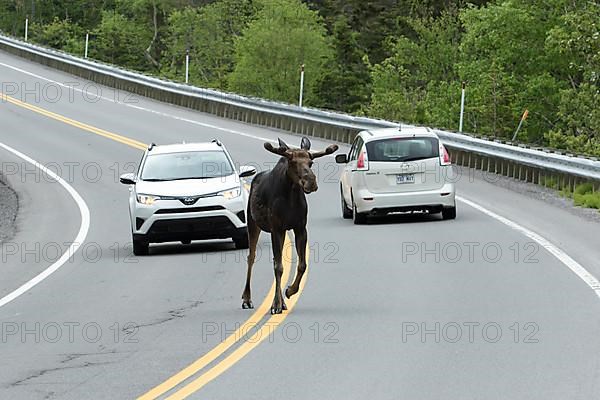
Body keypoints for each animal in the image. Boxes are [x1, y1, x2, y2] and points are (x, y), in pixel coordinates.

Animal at [241, 136, 340, 314]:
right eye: (292, 162)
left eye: (311, 162)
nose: (311, 182)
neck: (291, 195)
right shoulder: (276, 228)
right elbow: (279, 267)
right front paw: (276, 304)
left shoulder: (300, 228)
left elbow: (302, 265)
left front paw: (290, 291)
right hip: (253, 223)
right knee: (251, 258)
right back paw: (247, 298)